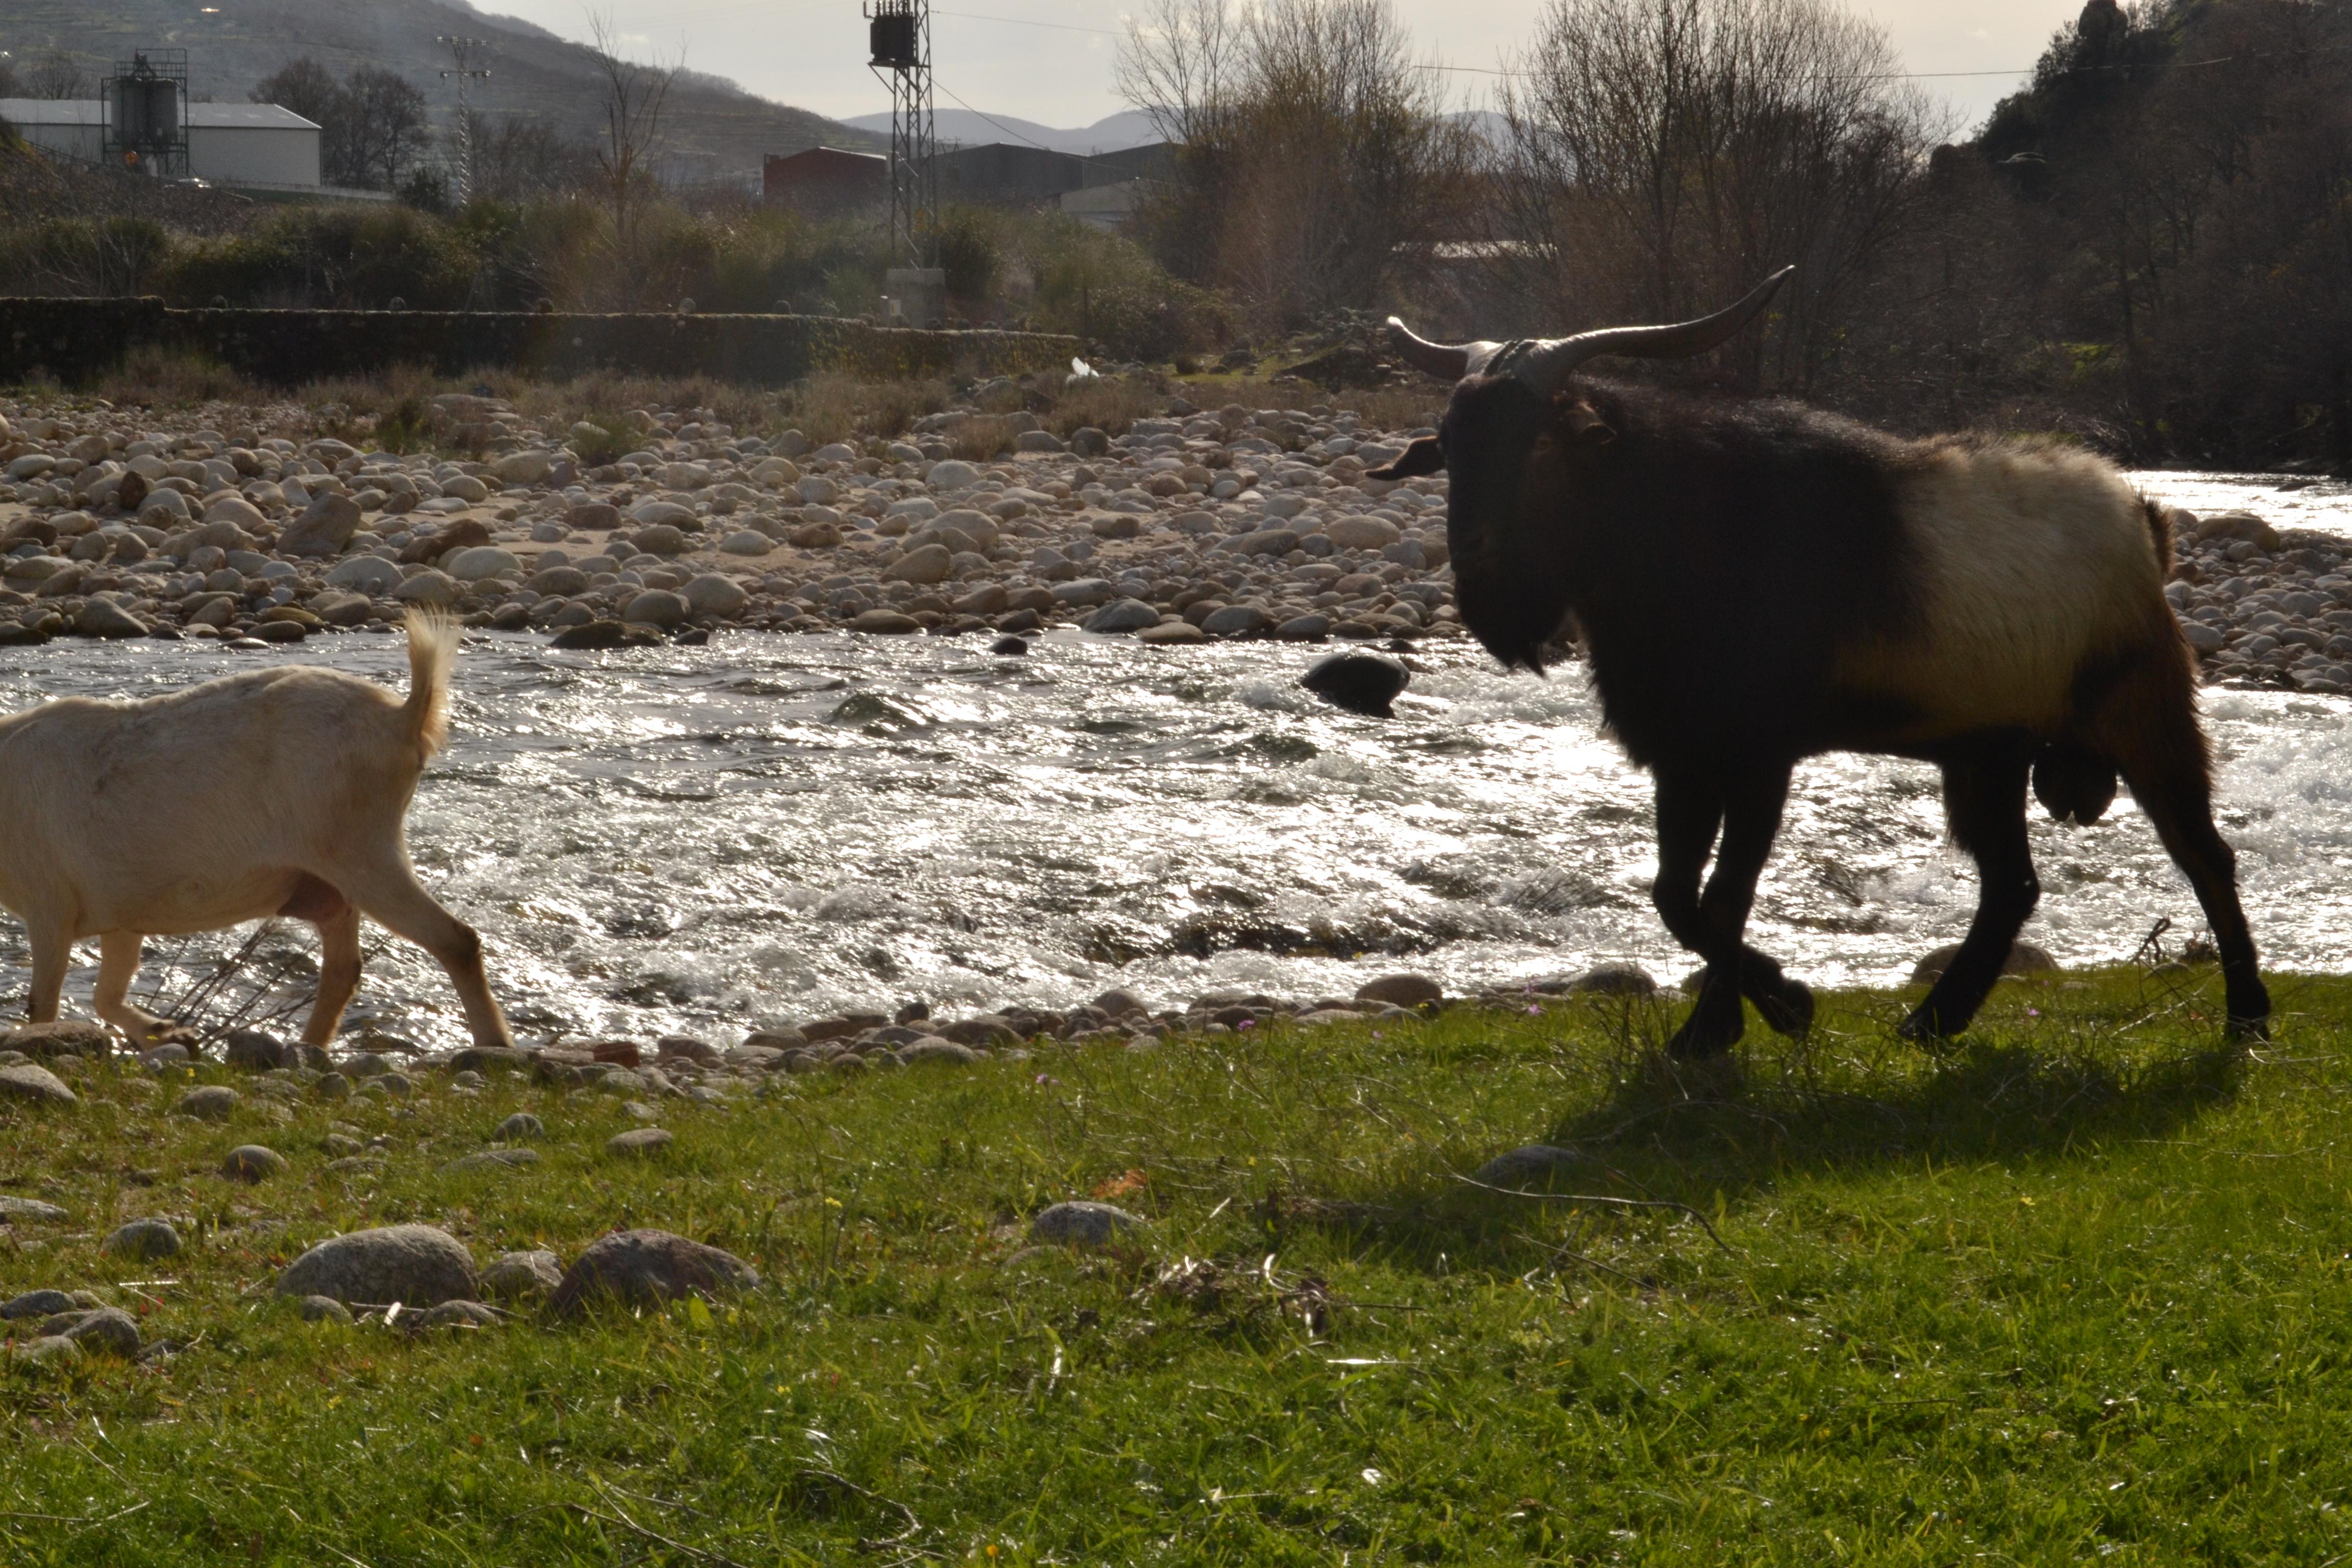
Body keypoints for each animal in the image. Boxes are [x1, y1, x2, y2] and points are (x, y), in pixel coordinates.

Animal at [0, 616, 510, 1053]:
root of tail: (404, 719)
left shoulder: (49, 902)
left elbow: (43, 1002)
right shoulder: (123, 910)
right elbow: (107, 992)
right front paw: (173, 1033)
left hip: (360, 844)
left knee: (454, 939)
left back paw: (494, 1046)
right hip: (337, 863)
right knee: (344, 964)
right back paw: (309, 1048)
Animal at [1374, 273, 2267, 1053]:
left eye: (1540, 446)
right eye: (1449, 445)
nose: (1474, 562)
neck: (1680, 538)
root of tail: (2144, 521)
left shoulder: (1761, 756)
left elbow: (1723, 896)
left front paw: (1760, 1013)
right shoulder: (1685, 756)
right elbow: (1678, 897)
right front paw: (1735, 1024)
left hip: (2144, 708)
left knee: (2203, 854)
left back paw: (2248, 1019)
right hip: (1989, 752)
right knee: (2011, 885)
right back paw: (1932, 1023)